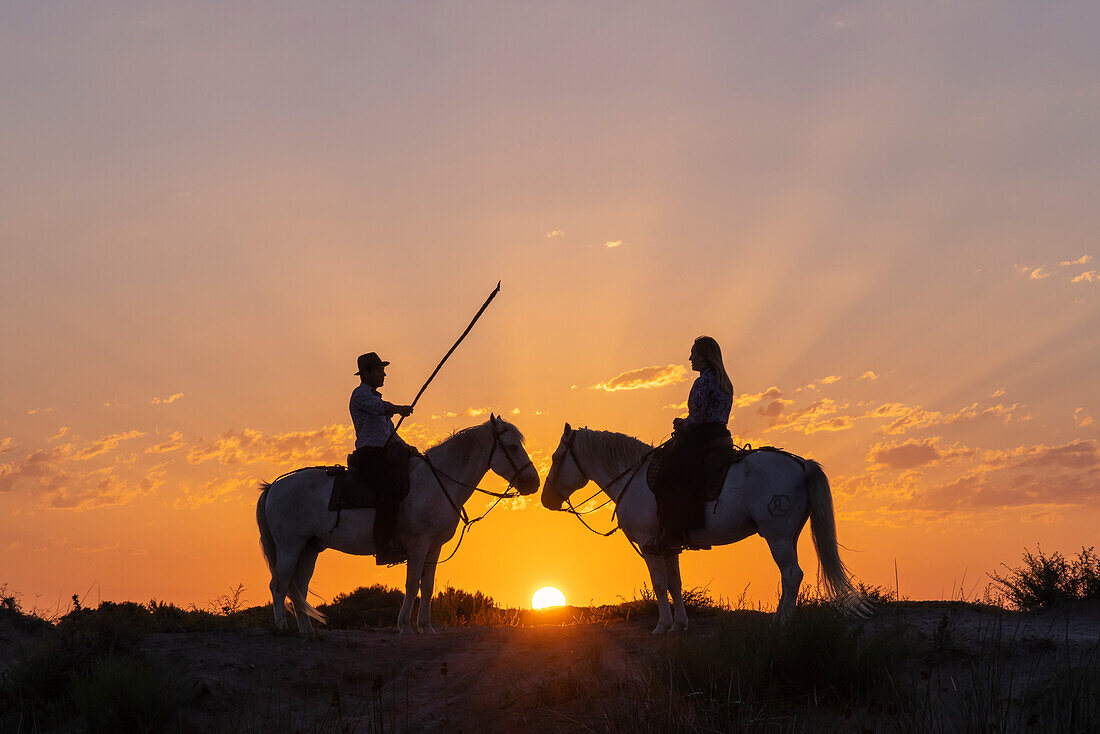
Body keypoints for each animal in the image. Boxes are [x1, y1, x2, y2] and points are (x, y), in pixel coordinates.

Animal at [253, 415, 536, 633]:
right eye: (512, 447)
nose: (533, 482)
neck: (438, 481)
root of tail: (273, 486)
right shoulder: (418, 545)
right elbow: (411, 585)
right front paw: (405, 626)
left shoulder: (434, 547)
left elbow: (427, 586)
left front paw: (427, 627)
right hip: (289, 546)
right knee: (279, 585)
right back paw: (283, 629)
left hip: (309, 548)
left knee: (298, 588)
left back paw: (308, 631)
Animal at [545, 424, 862, 633]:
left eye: (556, 457)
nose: (546, 499)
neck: (632, 479)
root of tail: (800, 464)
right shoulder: (667, 546)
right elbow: (674, 584)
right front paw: (679, 625)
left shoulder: (649, 546)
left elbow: (659, 585)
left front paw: (662, 626)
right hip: (789, 535)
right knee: (789, 575)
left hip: (778, 535)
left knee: (792, 574)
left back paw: (781, 621)